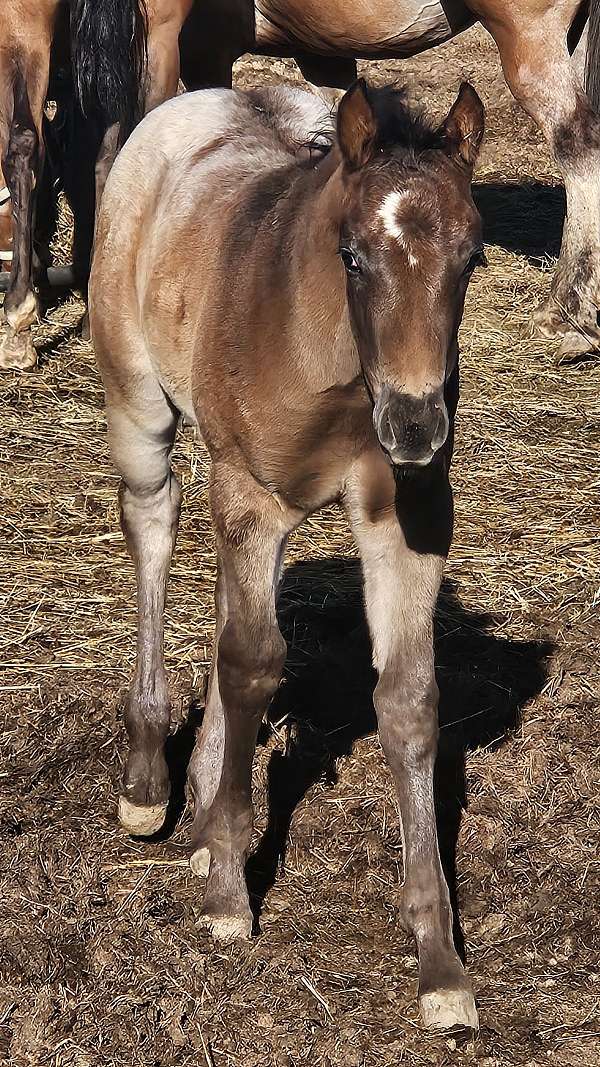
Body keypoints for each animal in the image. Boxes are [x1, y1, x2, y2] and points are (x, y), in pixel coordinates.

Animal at [90, 76, 488, 1031]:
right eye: (351, 255)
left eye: (472, 258)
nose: (415, 423)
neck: (342, 372)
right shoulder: (254, 497)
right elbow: (253, 661)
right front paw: (232, 891)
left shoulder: (409, 516)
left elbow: (409, 698)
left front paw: (440, 961)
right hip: (139, 407)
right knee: (155, 524)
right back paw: (151, 780)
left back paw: (199, 808)